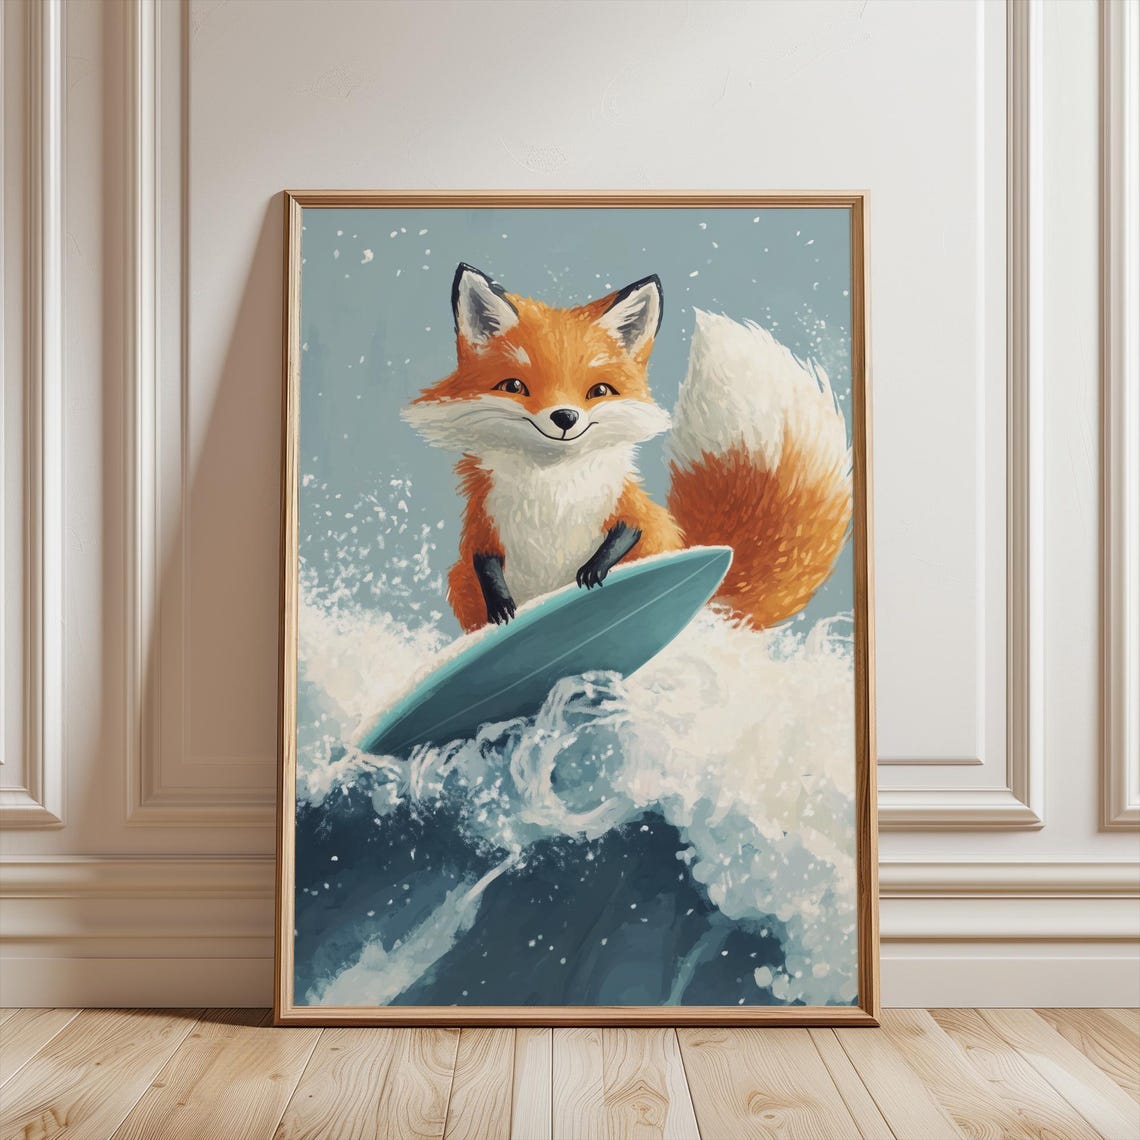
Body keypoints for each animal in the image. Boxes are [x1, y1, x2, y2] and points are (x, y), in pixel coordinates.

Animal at [402, 263, 851, 634]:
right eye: (514, 386)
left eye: (599, 391)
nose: (565, 417)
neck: (552, 490)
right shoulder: (482, 524)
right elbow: (485, 561)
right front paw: (501, 604)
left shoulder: (632, 509)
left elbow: (629, 531)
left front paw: (593, 570)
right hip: (459, 583)